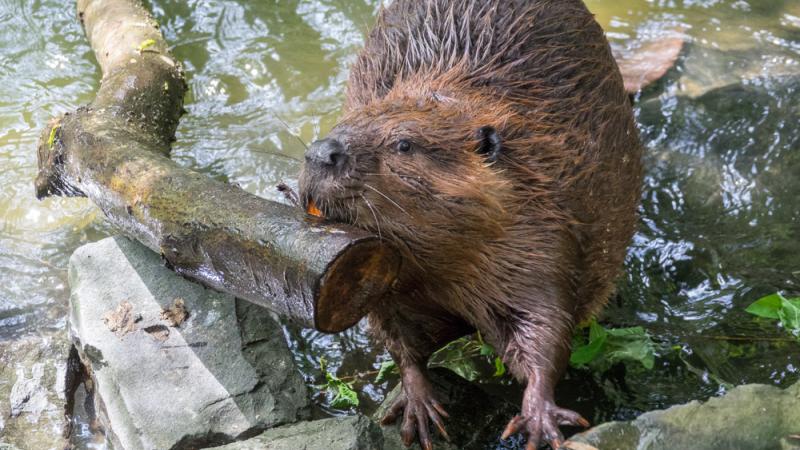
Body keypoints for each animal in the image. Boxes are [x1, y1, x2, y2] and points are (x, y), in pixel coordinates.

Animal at [300, 1, 644, 448]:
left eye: (404, 144)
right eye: (345, 121)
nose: (321, 152)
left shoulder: (539, 235)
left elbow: (547, 328)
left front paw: (538, 416)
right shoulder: (393, 285)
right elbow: (399, 337)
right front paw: (419, 408)